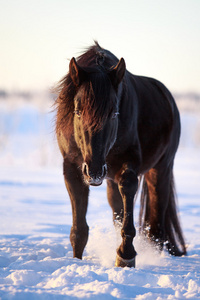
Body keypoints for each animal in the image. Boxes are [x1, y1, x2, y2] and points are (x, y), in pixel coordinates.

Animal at [55, 41, 186, 268]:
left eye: (113, 113)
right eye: (78, 111)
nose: (95, 171)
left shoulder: (128, 166)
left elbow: (128, 199)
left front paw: (126, 255)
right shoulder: (73, 169)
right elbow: (79, 230)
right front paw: (77, 262)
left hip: (161, 168)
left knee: (157, 223)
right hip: (109, 178)